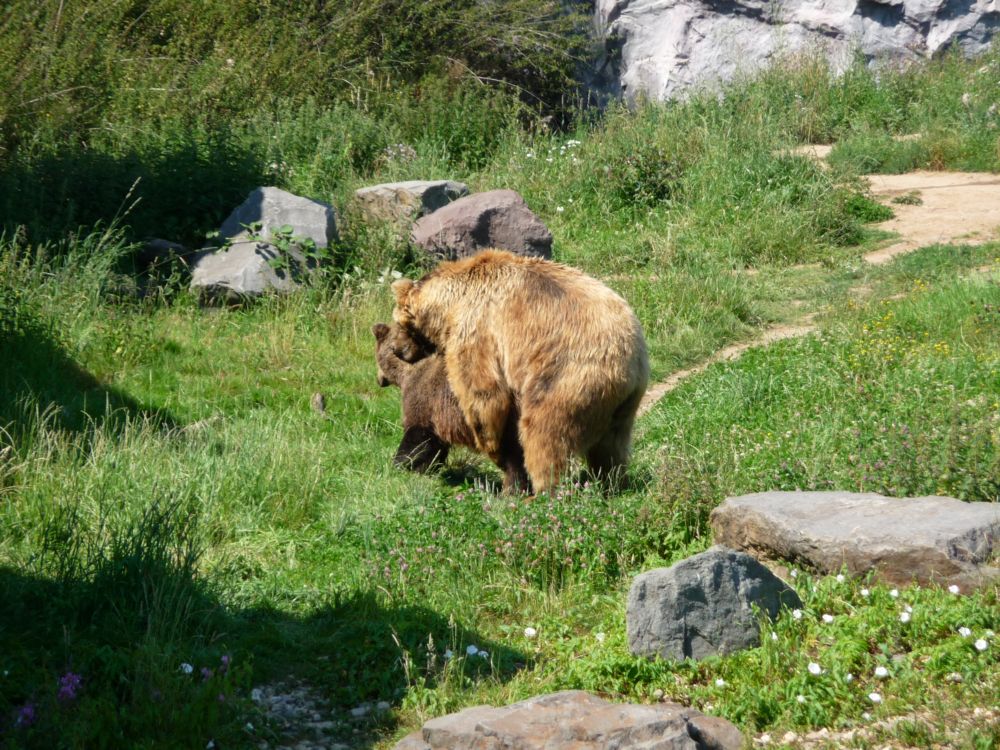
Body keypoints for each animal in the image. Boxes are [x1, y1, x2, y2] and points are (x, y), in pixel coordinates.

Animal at [374, 322, 532, 494]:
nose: (379, 380)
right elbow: (435, 445)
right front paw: (428, 469)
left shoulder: (424, 399)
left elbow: (417, 436)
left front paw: (400, 464)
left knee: (514, 457)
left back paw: (512, 490)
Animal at [390, 247, 648, 494]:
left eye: (399, 322)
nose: (396, 349)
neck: (450, 305)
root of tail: (629, 361)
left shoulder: (477, 328)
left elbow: (483, 393)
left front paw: (491, 445)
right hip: (624, 404)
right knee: (611, 447)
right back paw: (612, 481)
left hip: (567, 377)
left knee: (544, 433)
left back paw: (543, 490)